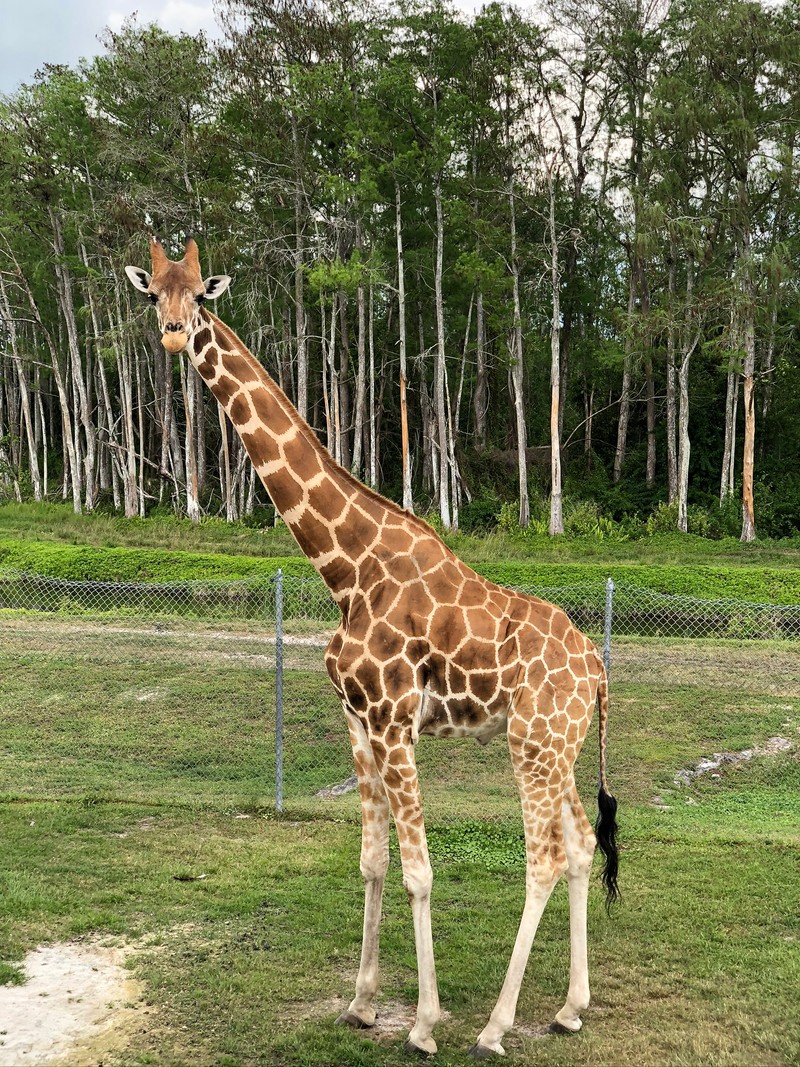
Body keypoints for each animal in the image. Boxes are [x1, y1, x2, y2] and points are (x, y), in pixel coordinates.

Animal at [126, 235, 618, 1058]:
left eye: (199, 295)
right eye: (151, 292)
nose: (169, 334)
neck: (345, 567)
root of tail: (601, 672)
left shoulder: (393, 719)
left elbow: (420, 870)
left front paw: (422, 1022)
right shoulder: (356, 721)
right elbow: (372, 859)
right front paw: (360, 1002)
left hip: (535, 742)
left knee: (546, 856)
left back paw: (495, 1026)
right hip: (559, 742)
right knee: (581, 844)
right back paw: (569, 1008)